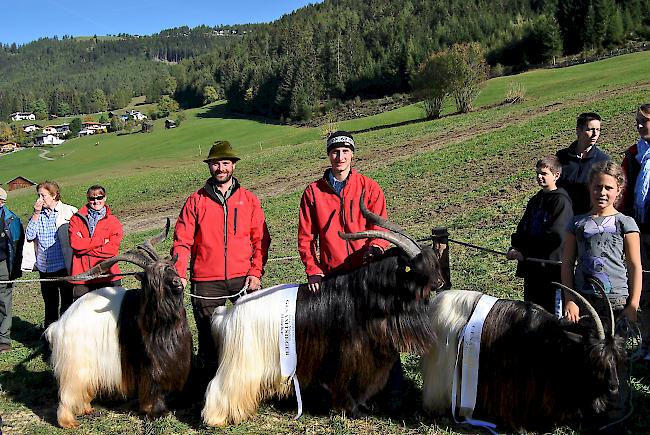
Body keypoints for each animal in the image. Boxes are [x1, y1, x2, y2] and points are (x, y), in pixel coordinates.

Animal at [44, 221, 191, 430]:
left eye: (170, 267)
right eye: (153, 276)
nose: (177, 282)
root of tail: (59, 324)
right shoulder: (148, 363)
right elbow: (152, 386)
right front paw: (156, 412)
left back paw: (86, 409)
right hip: (76, 361)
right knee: (68, 390)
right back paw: (67, 421)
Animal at [201, 200, 440, 426]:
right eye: (417, 267)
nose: (439, 283)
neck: (362, 297)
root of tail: (228, 315)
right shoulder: (346, 354)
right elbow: (344, 382)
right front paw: (351, 410)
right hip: (243, 361)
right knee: (220, 385)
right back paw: (216, 419)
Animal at [420, 286, 624, 432]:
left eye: (615, 359)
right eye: (595, 359)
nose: (614, 386)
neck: (552, 341)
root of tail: (436, 304)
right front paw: (520, 428)